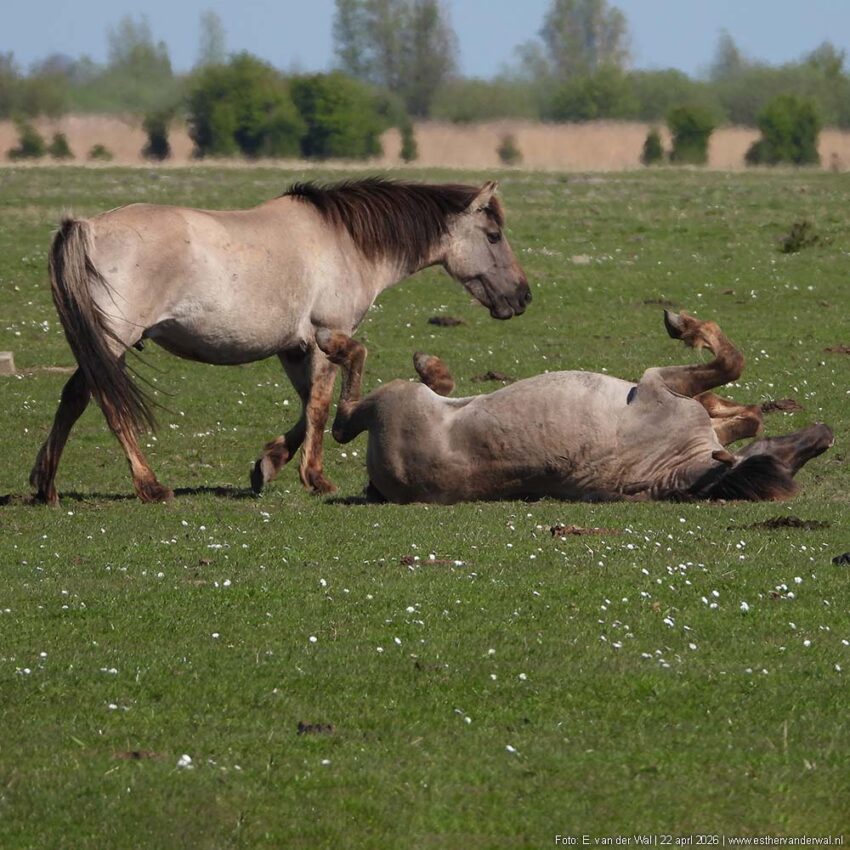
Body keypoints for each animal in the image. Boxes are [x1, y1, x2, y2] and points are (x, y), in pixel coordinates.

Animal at [31, 177, 530, 505]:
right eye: (493, 235)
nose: (523, 296)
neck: (344, 241)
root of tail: (87, 227)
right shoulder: (327, 336)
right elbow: (324, 403)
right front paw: (316, 476)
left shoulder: (294, 348)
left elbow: (306, 407)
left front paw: (268, 463)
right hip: (113, 340)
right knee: (104, 402)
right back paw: (149, 485)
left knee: (73, 397)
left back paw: (45, 482)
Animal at [316, 311, 834, 503]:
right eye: (781, 454)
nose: (825, 435)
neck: (672, 465)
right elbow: (742, 401)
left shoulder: (661, 385)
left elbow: (734, 371)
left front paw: (682, 324)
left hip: (392, 399)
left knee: (343, 419)